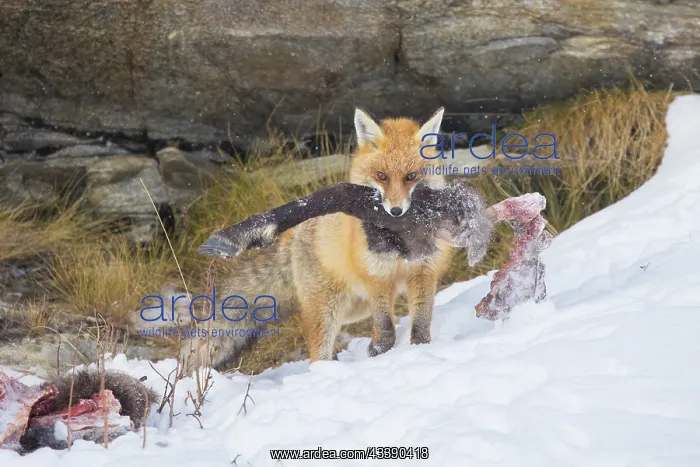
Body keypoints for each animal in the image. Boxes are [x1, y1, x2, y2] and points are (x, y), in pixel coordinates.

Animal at [198, 108, 452, 370]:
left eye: (411, 176)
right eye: (381, 176)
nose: (396, 211)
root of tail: (294, 234)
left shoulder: (424, 272)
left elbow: (421, 321)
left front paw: (421, 348)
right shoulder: (377, 276)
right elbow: (384, 328)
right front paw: (381, 351)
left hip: (354, 308)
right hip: (327, 308)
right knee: (318, 352)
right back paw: (325, 370)